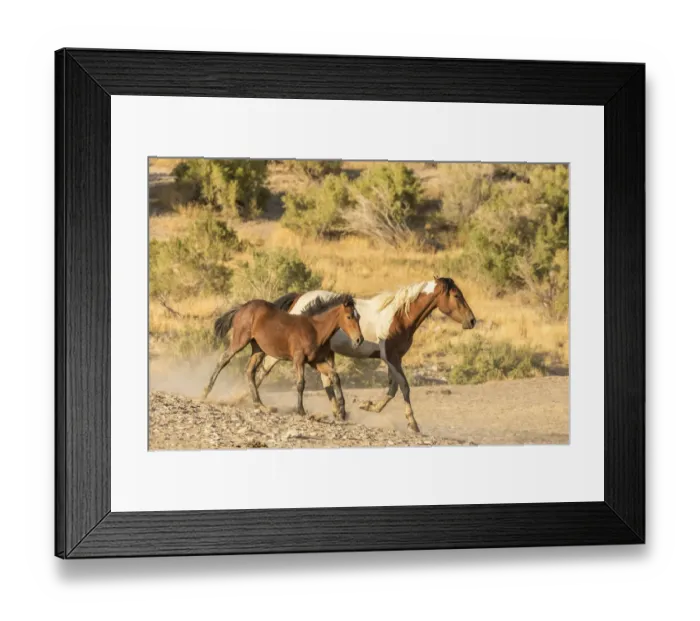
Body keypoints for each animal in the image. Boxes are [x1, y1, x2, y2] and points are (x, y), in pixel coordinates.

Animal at [201, 294, 364, 420]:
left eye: (359, 317)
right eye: (349, 316)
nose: (359, 340)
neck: (315, 330)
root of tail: (243, 307)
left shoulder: (315, 361)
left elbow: (334, 376)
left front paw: (342, 412)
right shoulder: (299, 360)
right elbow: (300, 384)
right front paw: (301, 410)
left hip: (258, 349)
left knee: (250, 371)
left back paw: (261, 405)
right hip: (240, 341)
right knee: (223, 360)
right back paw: (204, 393)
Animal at [258, 277, 477, 433]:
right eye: (457, 296)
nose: (472, 321)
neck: (398, 316)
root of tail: (298, 298)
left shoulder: (393, 358)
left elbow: (393, 388)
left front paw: (369, 406)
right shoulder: (391, 357)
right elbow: (404, 386)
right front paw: (412, 423)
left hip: (323, 353)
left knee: (326, 380)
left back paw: (338, 412)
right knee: (266, 366)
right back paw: (256, 402)